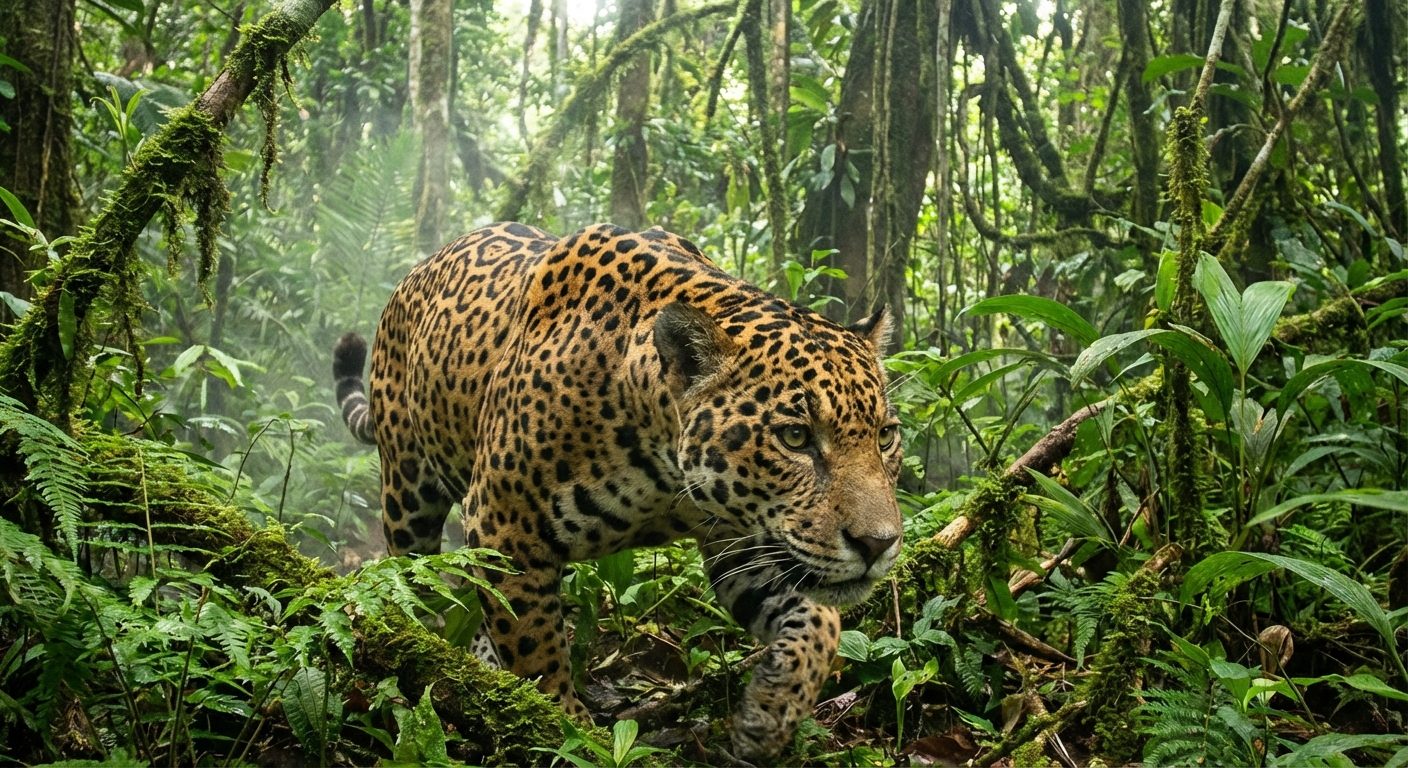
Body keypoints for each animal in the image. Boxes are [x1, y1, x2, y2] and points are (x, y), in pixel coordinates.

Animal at [332, 222, 903, 760]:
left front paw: (771, 709)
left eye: (885, 435)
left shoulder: (739, 545)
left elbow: (821, 620)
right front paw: (561, 733)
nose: (878, 544)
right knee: (416, 584)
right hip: (408, 493)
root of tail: (415, 272)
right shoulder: (503, 524)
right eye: (795, 437)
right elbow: (535, 650)